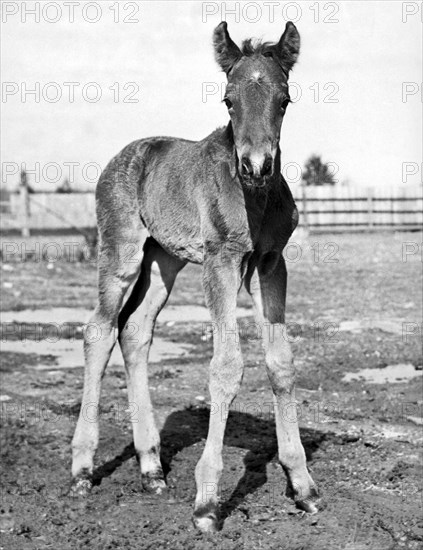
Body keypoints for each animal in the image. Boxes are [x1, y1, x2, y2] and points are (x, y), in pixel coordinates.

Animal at [72, 22, 318, 536]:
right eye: (228, 100)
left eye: (284, 99)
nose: (256, 165)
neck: (255, 199)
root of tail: (126, 154)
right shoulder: (220, 263)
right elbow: (226, 366)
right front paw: (207, 502)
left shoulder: (271, 263)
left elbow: (280, 363)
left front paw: (303, 485)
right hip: (122, 253)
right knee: (99, 329)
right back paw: (82, 469)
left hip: (163, 261)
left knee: (135, 330)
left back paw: (151, 469)